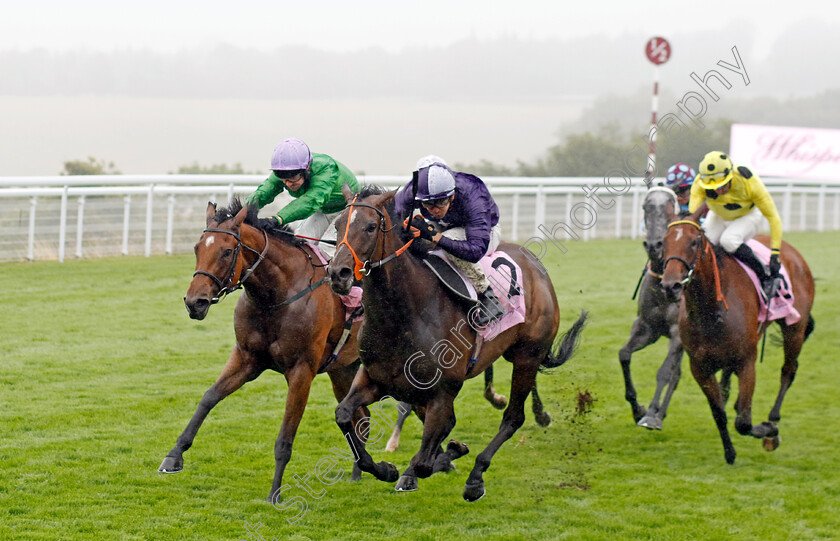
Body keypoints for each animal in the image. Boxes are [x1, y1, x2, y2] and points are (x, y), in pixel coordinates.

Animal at [160, 200, 368, 500]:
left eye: (227, 251)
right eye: (197, 248)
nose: (194, 302)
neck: (276, 296)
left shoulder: (302, 371)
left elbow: (285, 436)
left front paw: (275, 494)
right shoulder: (247, 358)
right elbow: (209, 398)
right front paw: (174, 455)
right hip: (343, 371)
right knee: (361, 417)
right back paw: (359, 473)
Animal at [324, 185, 588, 498]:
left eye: (370, 227)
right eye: (338, 225)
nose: (337, 273)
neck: (403, 315)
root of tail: (537, 268)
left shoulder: (442, 392)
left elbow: (425, 461)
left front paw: (445, 455)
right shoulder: (375, 378)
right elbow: (344, 415)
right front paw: (387, 469)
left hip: (528, 355)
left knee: (513, 417)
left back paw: (476, 477)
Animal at [620, 188, 684, 428]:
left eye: (670, 207)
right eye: (645, 207)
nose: (653, 245)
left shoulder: (677, 334)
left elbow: (665, 372)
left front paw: (651, 414)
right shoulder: (647, 328)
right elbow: (624, 354)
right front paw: (637, 408)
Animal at [664, 213, 812, 462]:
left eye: (693, 242)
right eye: (663, 242)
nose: (670, 285)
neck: (710, 310)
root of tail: (794, 253)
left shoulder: (746, 362)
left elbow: (743, 422)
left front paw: (769, 432)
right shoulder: (699, 367)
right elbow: (719, 413)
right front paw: (729, 452)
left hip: (794, 328)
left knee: (788, 370)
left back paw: (773, 417)